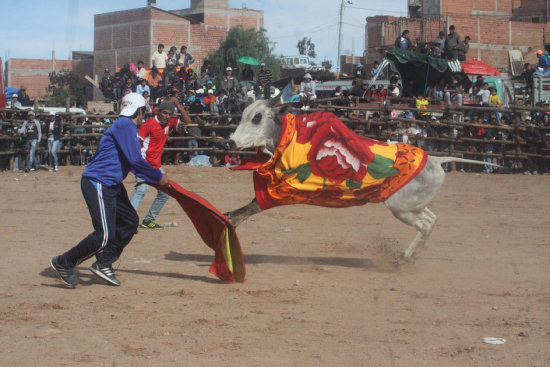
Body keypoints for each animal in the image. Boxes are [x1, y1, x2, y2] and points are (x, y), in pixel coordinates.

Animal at [226, 95, 498, 262]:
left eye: (257, 117)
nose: (231, 141)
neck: (287, 137)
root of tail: (435, 160)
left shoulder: (284, 190)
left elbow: (252, 206)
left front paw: (231, 220)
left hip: (401, 208)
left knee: (424, 225)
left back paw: (404, 259)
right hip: (413, 205)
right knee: (431, 221)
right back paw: (411, 257)